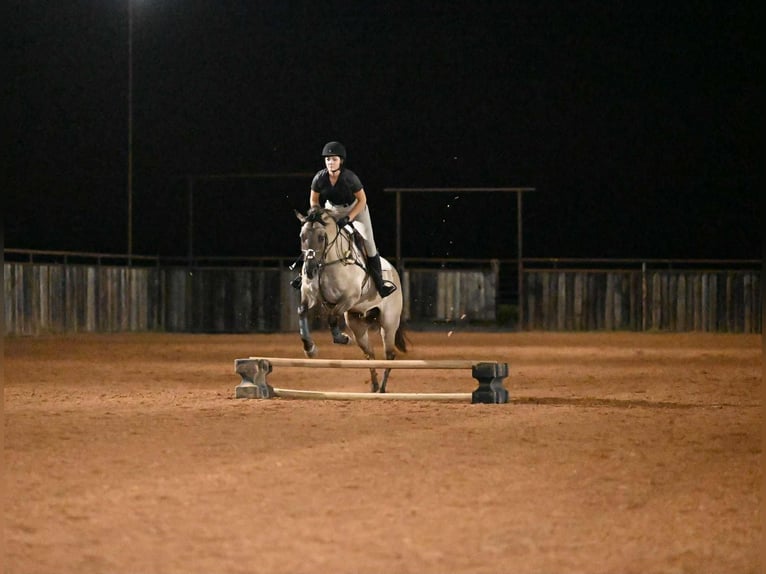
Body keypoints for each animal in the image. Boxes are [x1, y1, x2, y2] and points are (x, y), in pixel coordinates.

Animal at [295, 207, 407, 393]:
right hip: (357, 324)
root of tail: (394, 271)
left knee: (389, 355)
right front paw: (310, 348)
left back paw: (382, 389)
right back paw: (374, 386)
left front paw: (341, 338)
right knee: (369, 354)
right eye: (302, 236)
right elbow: (302, 312)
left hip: (389, 323)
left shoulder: (349, 298)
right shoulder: (309, 295)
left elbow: (332, 317)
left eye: (321, 237)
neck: (327, 264)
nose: (310, 270)